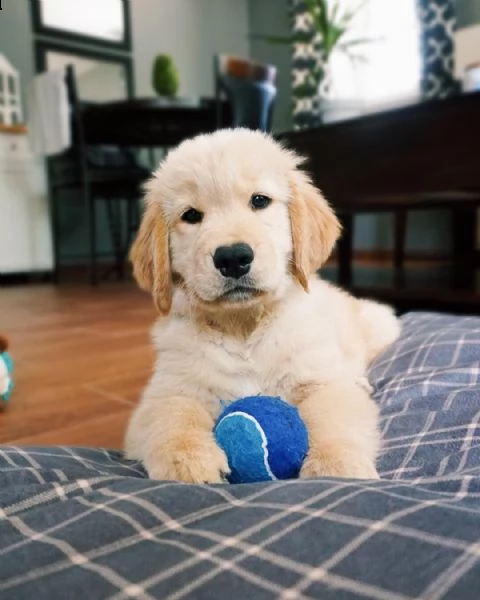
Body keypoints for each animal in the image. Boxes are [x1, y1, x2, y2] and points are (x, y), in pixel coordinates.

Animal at [124, 127, 402, 482]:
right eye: (191, 216)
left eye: (259, 201)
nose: (232, 258)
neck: (243, 326)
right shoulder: (168, 389)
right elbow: (171, 413)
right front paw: (186, 463)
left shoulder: (323, 381)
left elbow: (334, 418)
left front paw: (335, 467)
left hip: (380, 324)